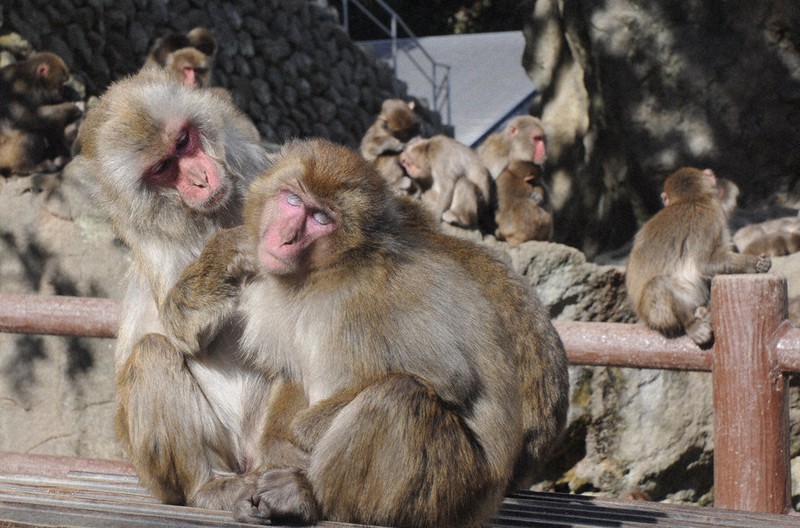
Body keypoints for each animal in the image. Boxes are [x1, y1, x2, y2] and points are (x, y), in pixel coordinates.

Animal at [75, 67, 286, 516]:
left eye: (183, 141)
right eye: (161, 168)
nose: (200, 179)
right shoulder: (155, 245)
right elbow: (183, 327)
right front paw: (227, 252)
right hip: (160, 468)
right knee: (153, 351)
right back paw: (208, 486)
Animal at [161, 137, 568, 528]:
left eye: (321, 218)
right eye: (292, 199)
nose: (286, 237)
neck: (321, 275)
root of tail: (487, 506)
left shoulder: (368, 297)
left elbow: (449, 376)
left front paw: (296, 442)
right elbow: (291, 371)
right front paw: (276, 447)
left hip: (454, 492)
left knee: (398, 396)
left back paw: (308, 498)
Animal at [624, 166, 768, 346]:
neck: (690, 198)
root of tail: (643, 318)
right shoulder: (710, 217)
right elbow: (706, 263)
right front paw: (754, 262)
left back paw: (703, 311)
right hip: (658, 315)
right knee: (658, 284)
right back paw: (692, 324)